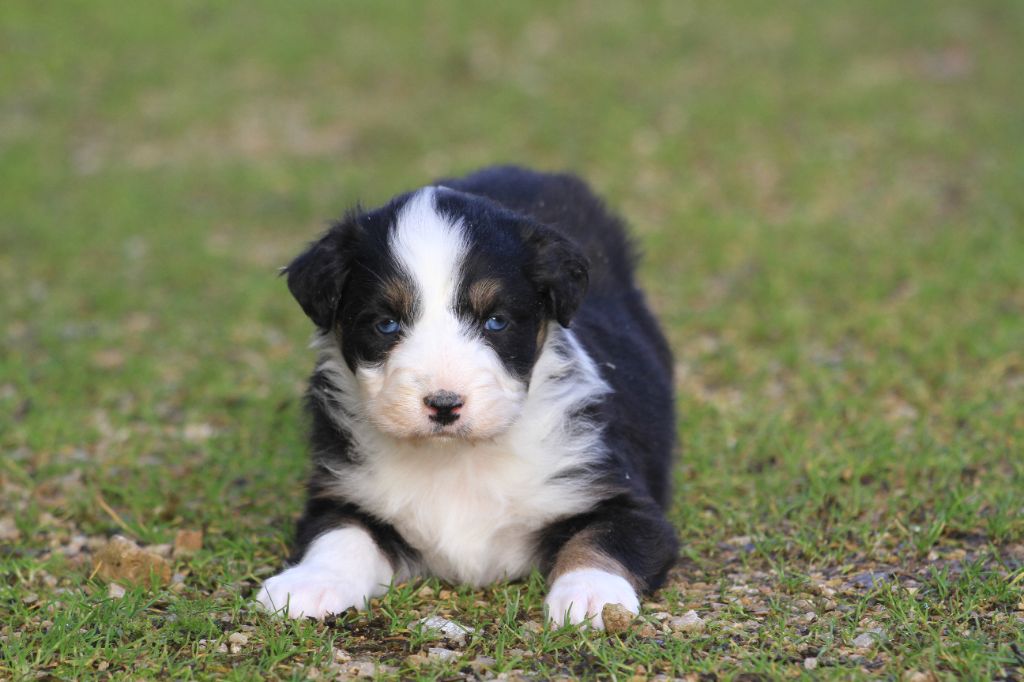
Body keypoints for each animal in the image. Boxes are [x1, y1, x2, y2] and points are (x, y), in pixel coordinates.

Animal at [256, 164, 675, 626]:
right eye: (386, 324)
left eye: (496, 321)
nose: (444, 404)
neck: (456, 459)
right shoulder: (344, 492)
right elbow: (341, 534)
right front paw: (308, 585)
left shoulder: (618, 496)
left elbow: (601, 539)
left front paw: (590, 596)